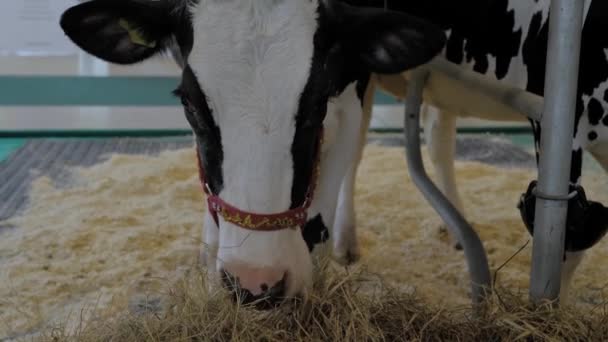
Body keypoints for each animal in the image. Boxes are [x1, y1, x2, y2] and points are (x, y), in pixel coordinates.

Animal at [338, 0, 608, 300]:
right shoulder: (559, 128)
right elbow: (571, 241)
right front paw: (552, 306)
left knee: (436, 137)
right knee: (351, 146)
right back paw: (346, 242)